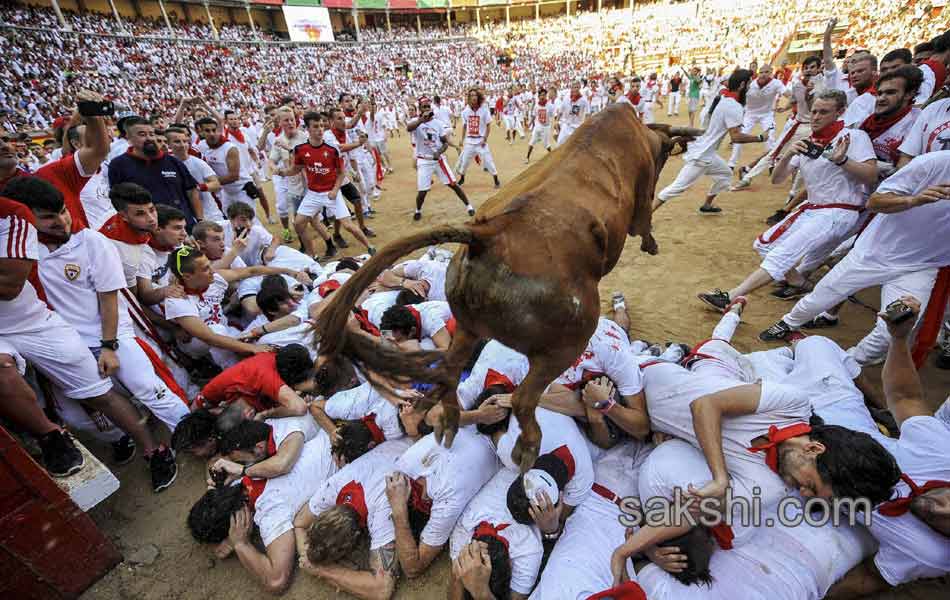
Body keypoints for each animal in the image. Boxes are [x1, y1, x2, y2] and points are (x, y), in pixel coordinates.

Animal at [312, 102, 700, 468]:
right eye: (666, 151)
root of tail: (486, 235)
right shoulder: (641, 201)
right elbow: (644, 221)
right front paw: (651, 244)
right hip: (565, 344)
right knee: (523, 398)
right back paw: (526, 448)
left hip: (467, 326)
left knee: (449, 371)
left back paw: (446, 421)